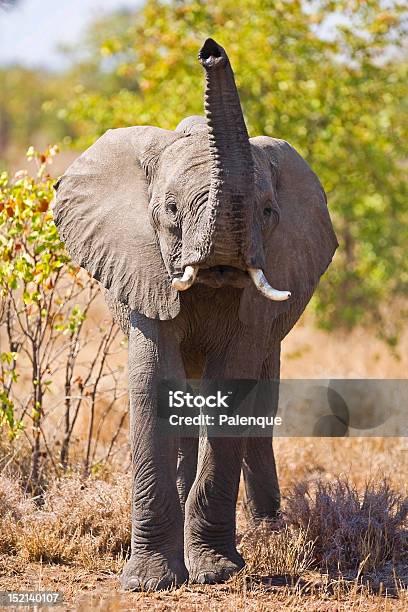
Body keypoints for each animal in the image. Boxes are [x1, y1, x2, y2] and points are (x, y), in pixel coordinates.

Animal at [51, 37, 338, 588]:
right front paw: (150, 581)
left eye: (268, 213)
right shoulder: (141, 270)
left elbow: (234, 386)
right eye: (169, 211)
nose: (210, 50)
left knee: (260, 401)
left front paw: (216, 571)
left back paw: (269, 531)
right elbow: (152, 380)